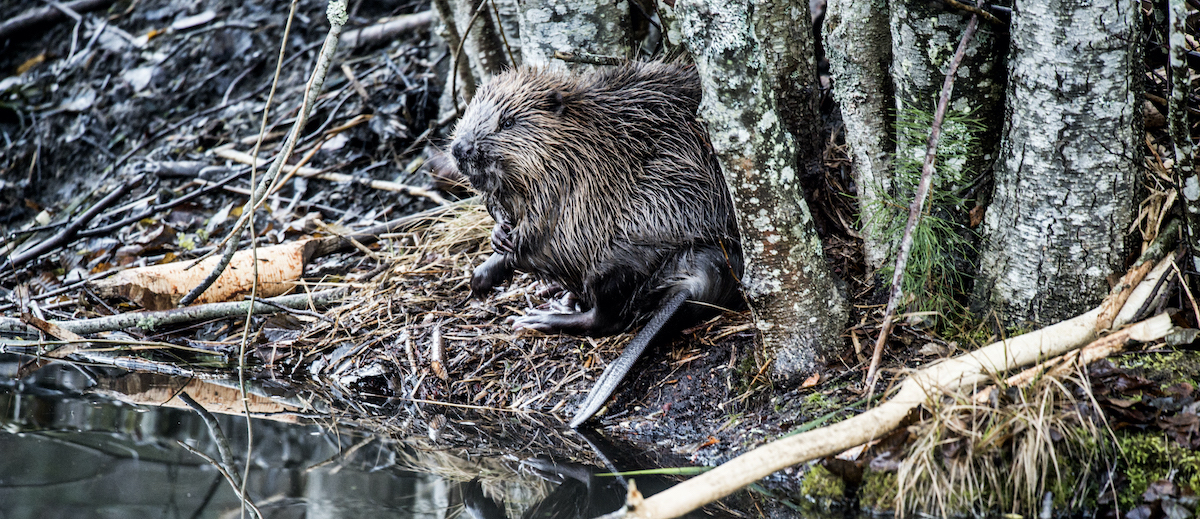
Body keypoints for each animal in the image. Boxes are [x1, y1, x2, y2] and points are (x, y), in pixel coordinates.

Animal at [451, 60, 744, 427]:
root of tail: (697, 282)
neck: (587, 139)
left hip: (618, 260)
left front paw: (502, 251)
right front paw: (487, 261)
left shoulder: (575, 184)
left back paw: (539, 317)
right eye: (470, 111)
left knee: (608, 318)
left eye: (508, 122)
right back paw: (559, 296)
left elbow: (543, 235)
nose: (460, 149)